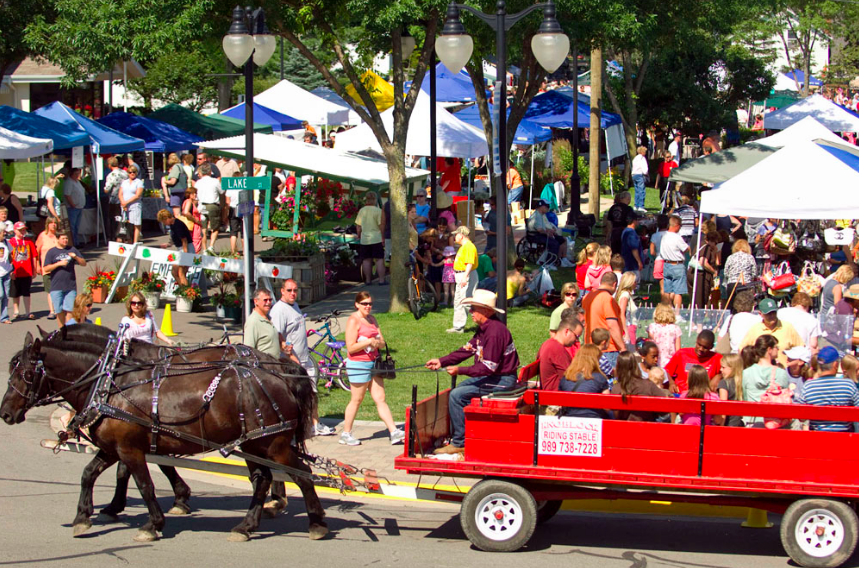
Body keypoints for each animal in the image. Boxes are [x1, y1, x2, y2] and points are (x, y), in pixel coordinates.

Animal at [0, 328, 326, 540]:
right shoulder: (114, 446)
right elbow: (89, 474)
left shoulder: (130, 449)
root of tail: (281, 372)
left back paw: (316, 523)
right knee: (263, 479)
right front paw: (84, 516)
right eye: (11, 370)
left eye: (26, 373)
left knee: (302, 474)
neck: (110, 383)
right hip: (253, 445)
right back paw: (247, 525)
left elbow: (144, 484)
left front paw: (153, 523)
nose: (5, 413)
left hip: (273, 444)